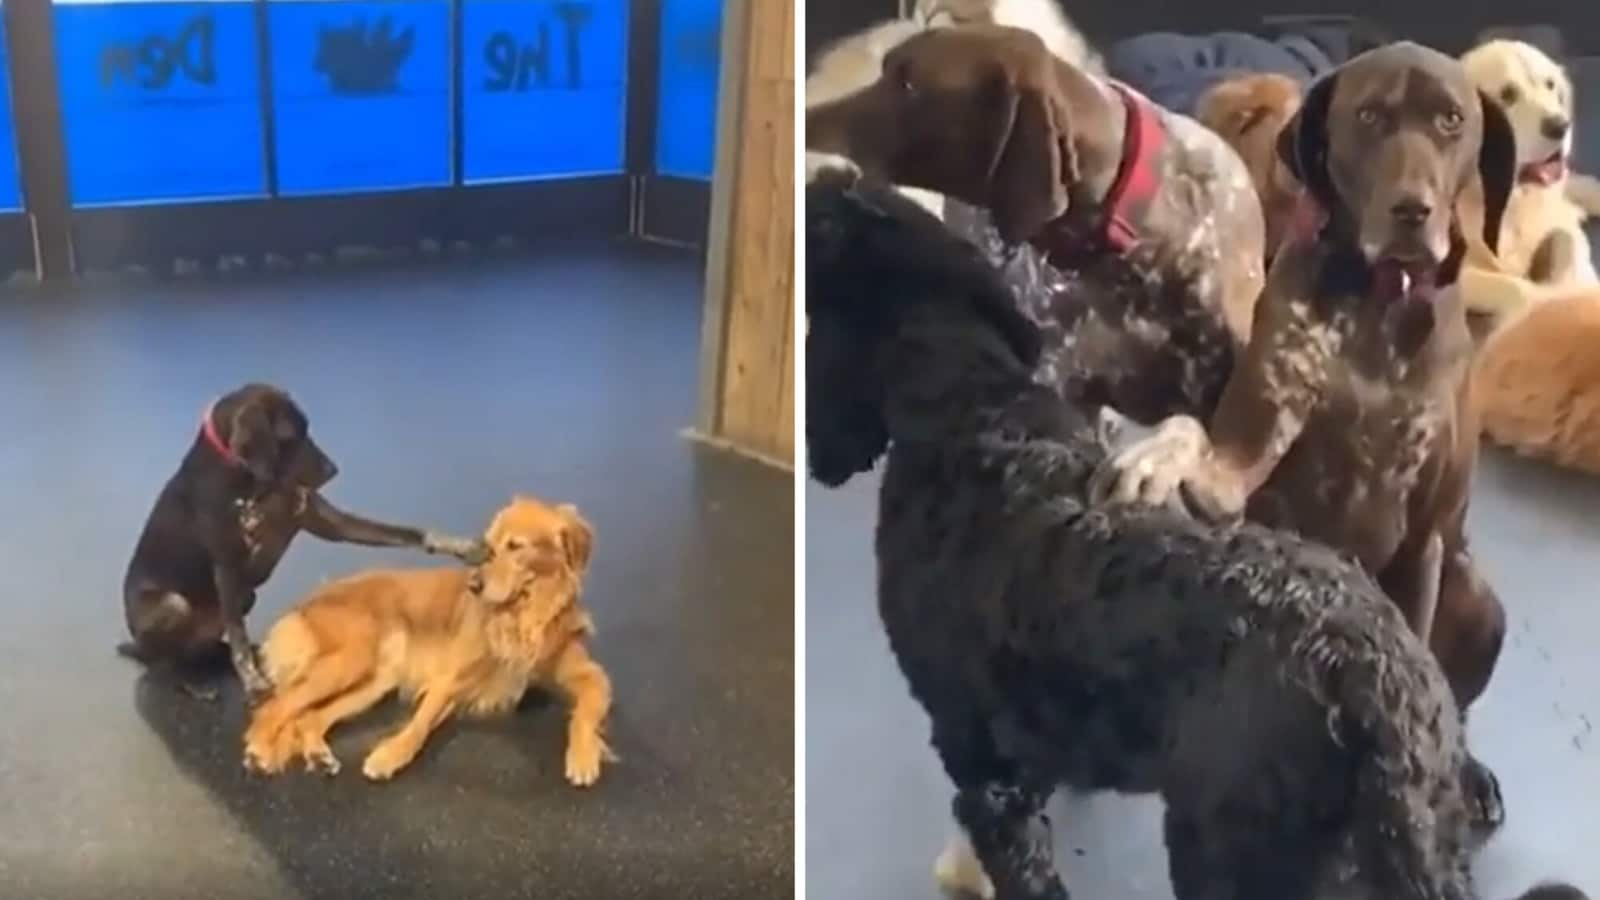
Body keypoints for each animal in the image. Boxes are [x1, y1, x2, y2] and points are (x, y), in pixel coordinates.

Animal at [240, 493, 608, 781]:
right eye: (488, 548)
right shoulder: (448, 678)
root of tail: (304, 602)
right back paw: (259, 750)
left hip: (374, 681)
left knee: (309, 718)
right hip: (350, 661)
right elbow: (420, 723)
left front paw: (583, 755)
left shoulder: (588, 673)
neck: (525, 616)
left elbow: (588, 708)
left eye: (516, 547)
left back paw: (317, 753)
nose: (474, 585)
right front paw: (389, 755)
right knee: (273, 707)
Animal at [1094, 45, 1516, 826]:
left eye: (1450, 121)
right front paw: (1151, 456)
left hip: (1478, 600)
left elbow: (1422, 666)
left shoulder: (1425, 542)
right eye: (1370, 115)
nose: (1411, 211)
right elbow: (1196, 438)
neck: (1379, 305)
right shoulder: (1241, 460)